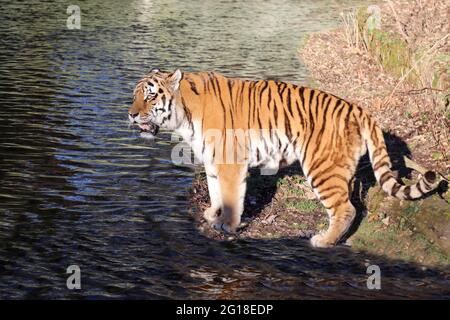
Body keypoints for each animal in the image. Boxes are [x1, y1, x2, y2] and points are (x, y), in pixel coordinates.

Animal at [128, 67, 438, 248]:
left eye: (151, 96)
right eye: (134, 95)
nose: (130, 114)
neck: (185, 114)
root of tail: (360, 109)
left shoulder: (230, 162)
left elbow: (231, 198)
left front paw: (227, 226)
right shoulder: (213, 160)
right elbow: (216, 192)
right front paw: (211, 214)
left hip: (321, 168)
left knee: (345, 209)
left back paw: (323, 241)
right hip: (341, 169)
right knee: (354, 203)